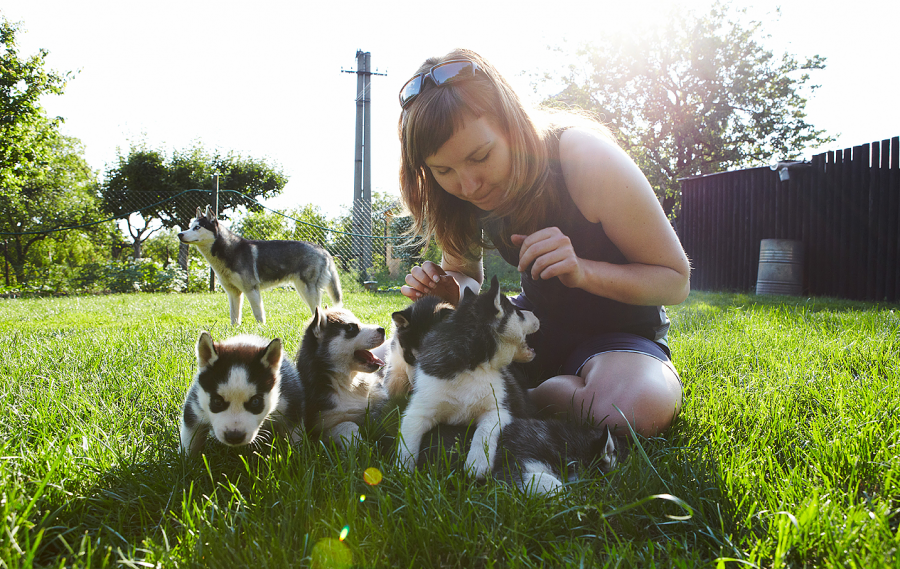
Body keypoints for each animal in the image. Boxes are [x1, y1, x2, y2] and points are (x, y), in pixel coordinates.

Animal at [178, 206, 342, 326]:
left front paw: (261, 329)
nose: (180, 234)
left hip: (309, 291)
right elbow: (234, 317)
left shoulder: (252, 290)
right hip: (302, 289)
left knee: (318, 311)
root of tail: (323, 250)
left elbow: (258, 315)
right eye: (189, 226)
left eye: (198, 227)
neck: (228, 251)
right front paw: (234, 331)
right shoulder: (233, 293)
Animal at [296, 304, 386, 446]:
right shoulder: (318, 429)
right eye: (351, 328)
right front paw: (360, 444)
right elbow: (348, 425)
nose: (382, 329)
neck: (348, 384)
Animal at [396, 278, 536, 478]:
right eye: (518, 312)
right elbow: (408, 438)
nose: (535, 312)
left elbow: (484, 431)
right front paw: (402, 471)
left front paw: (477, 462)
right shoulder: (418, 410)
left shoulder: (499, 409)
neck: (472, 367)